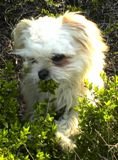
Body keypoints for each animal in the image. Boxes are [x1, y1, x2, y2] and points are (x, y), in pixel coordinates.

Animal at [12, 12, 108, 150]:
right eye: (33, 60)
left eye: (58, 57)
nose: (41, 73)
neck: (59, 87)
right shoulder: (36, 102)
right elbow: (35, 118)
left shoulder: (82, 100)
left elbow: (72, 119)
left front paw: (63, 138)